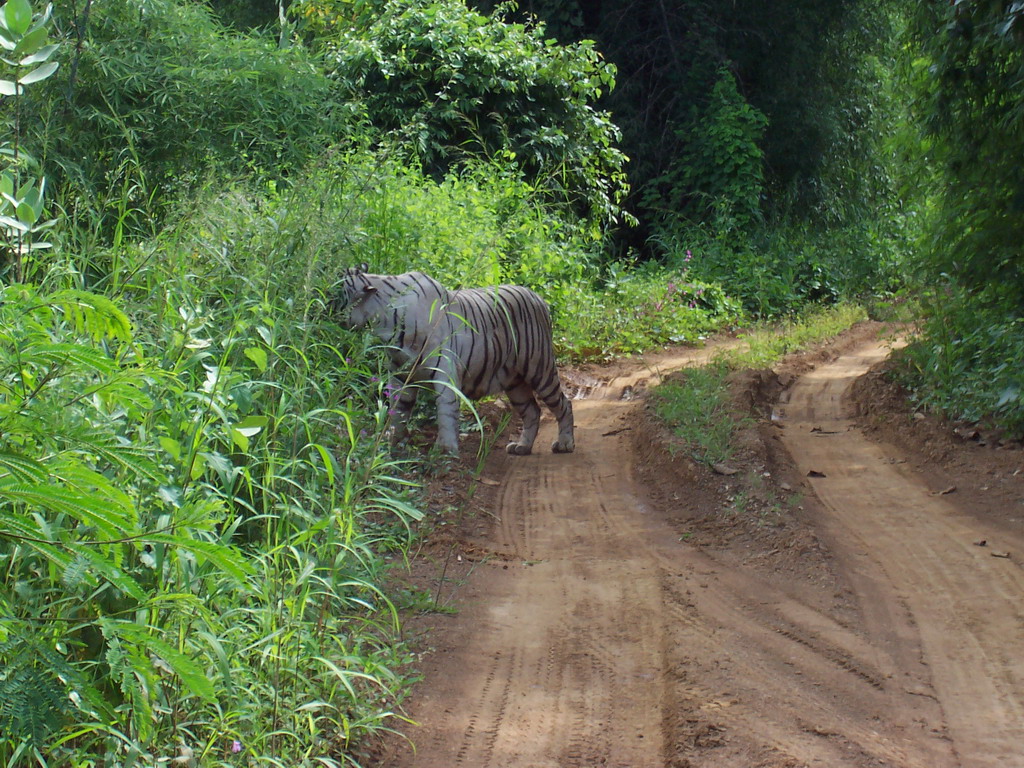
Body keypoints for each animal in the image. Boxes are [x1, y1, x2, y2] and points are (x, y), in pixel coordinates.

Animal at [333, 264, 577, 456]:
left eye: (336, 293)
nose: (324, 307)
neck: (384, 321)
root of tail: (538, 298)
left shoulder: (445, 373)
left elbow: (446, 411)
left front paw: (445, 450)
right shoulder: (401, 375)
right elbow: (398, 411)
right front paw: (391, 444)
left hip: (540, 369)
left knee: (564, 404)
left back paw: (565, 444)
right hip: (514, 382)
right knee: (532, 411)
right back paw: (522, 447)